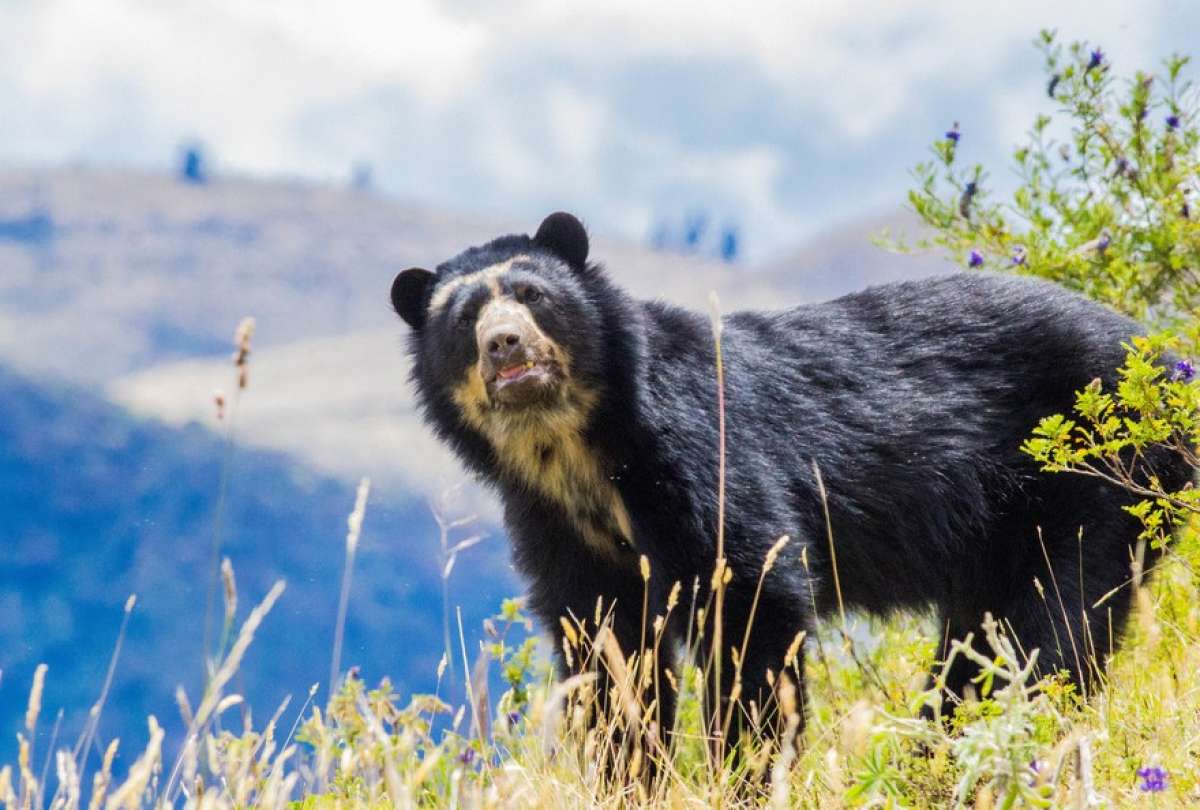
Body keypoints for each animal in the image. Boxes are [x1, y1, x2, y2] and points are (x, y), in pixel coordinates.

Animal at [390, 211, 1192, 760]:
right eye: (465, 317)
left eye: (532, 295)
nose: (505, 346)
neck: (574, 447)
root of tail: (1168, 363)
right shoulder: (554, 522)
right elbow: (606, 652)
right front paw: (624, 771)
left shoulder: (701, 453)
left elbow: (752, 601)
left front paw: (746, 768)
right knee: (981, 642)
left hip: (1095, 476)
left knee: (1051, 630)